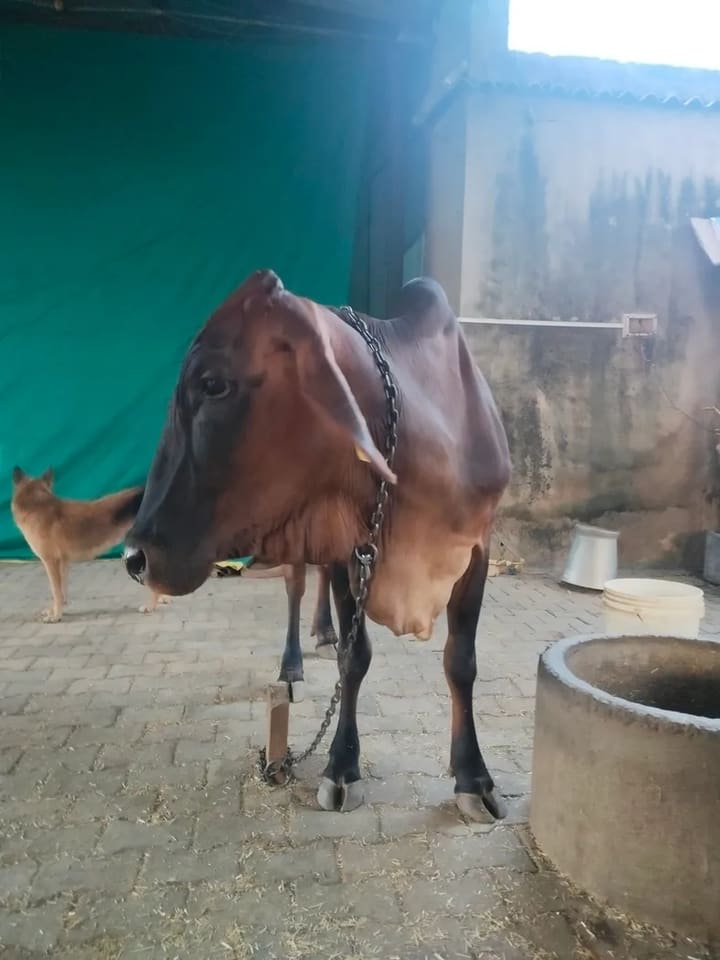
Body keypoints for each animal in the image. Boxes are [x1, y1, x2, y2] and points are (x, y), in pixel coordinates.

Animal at [124, 269, 511, 820]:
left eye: (212, 384)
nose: (134, 558)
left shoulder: (475, 550)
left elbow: (461, 662)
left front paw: (473, 777)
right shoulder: (351, 552)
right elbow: (355, 659)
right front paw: (340, 764)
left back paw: (324, 632)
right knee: (298, 588)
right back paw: (294, 661)